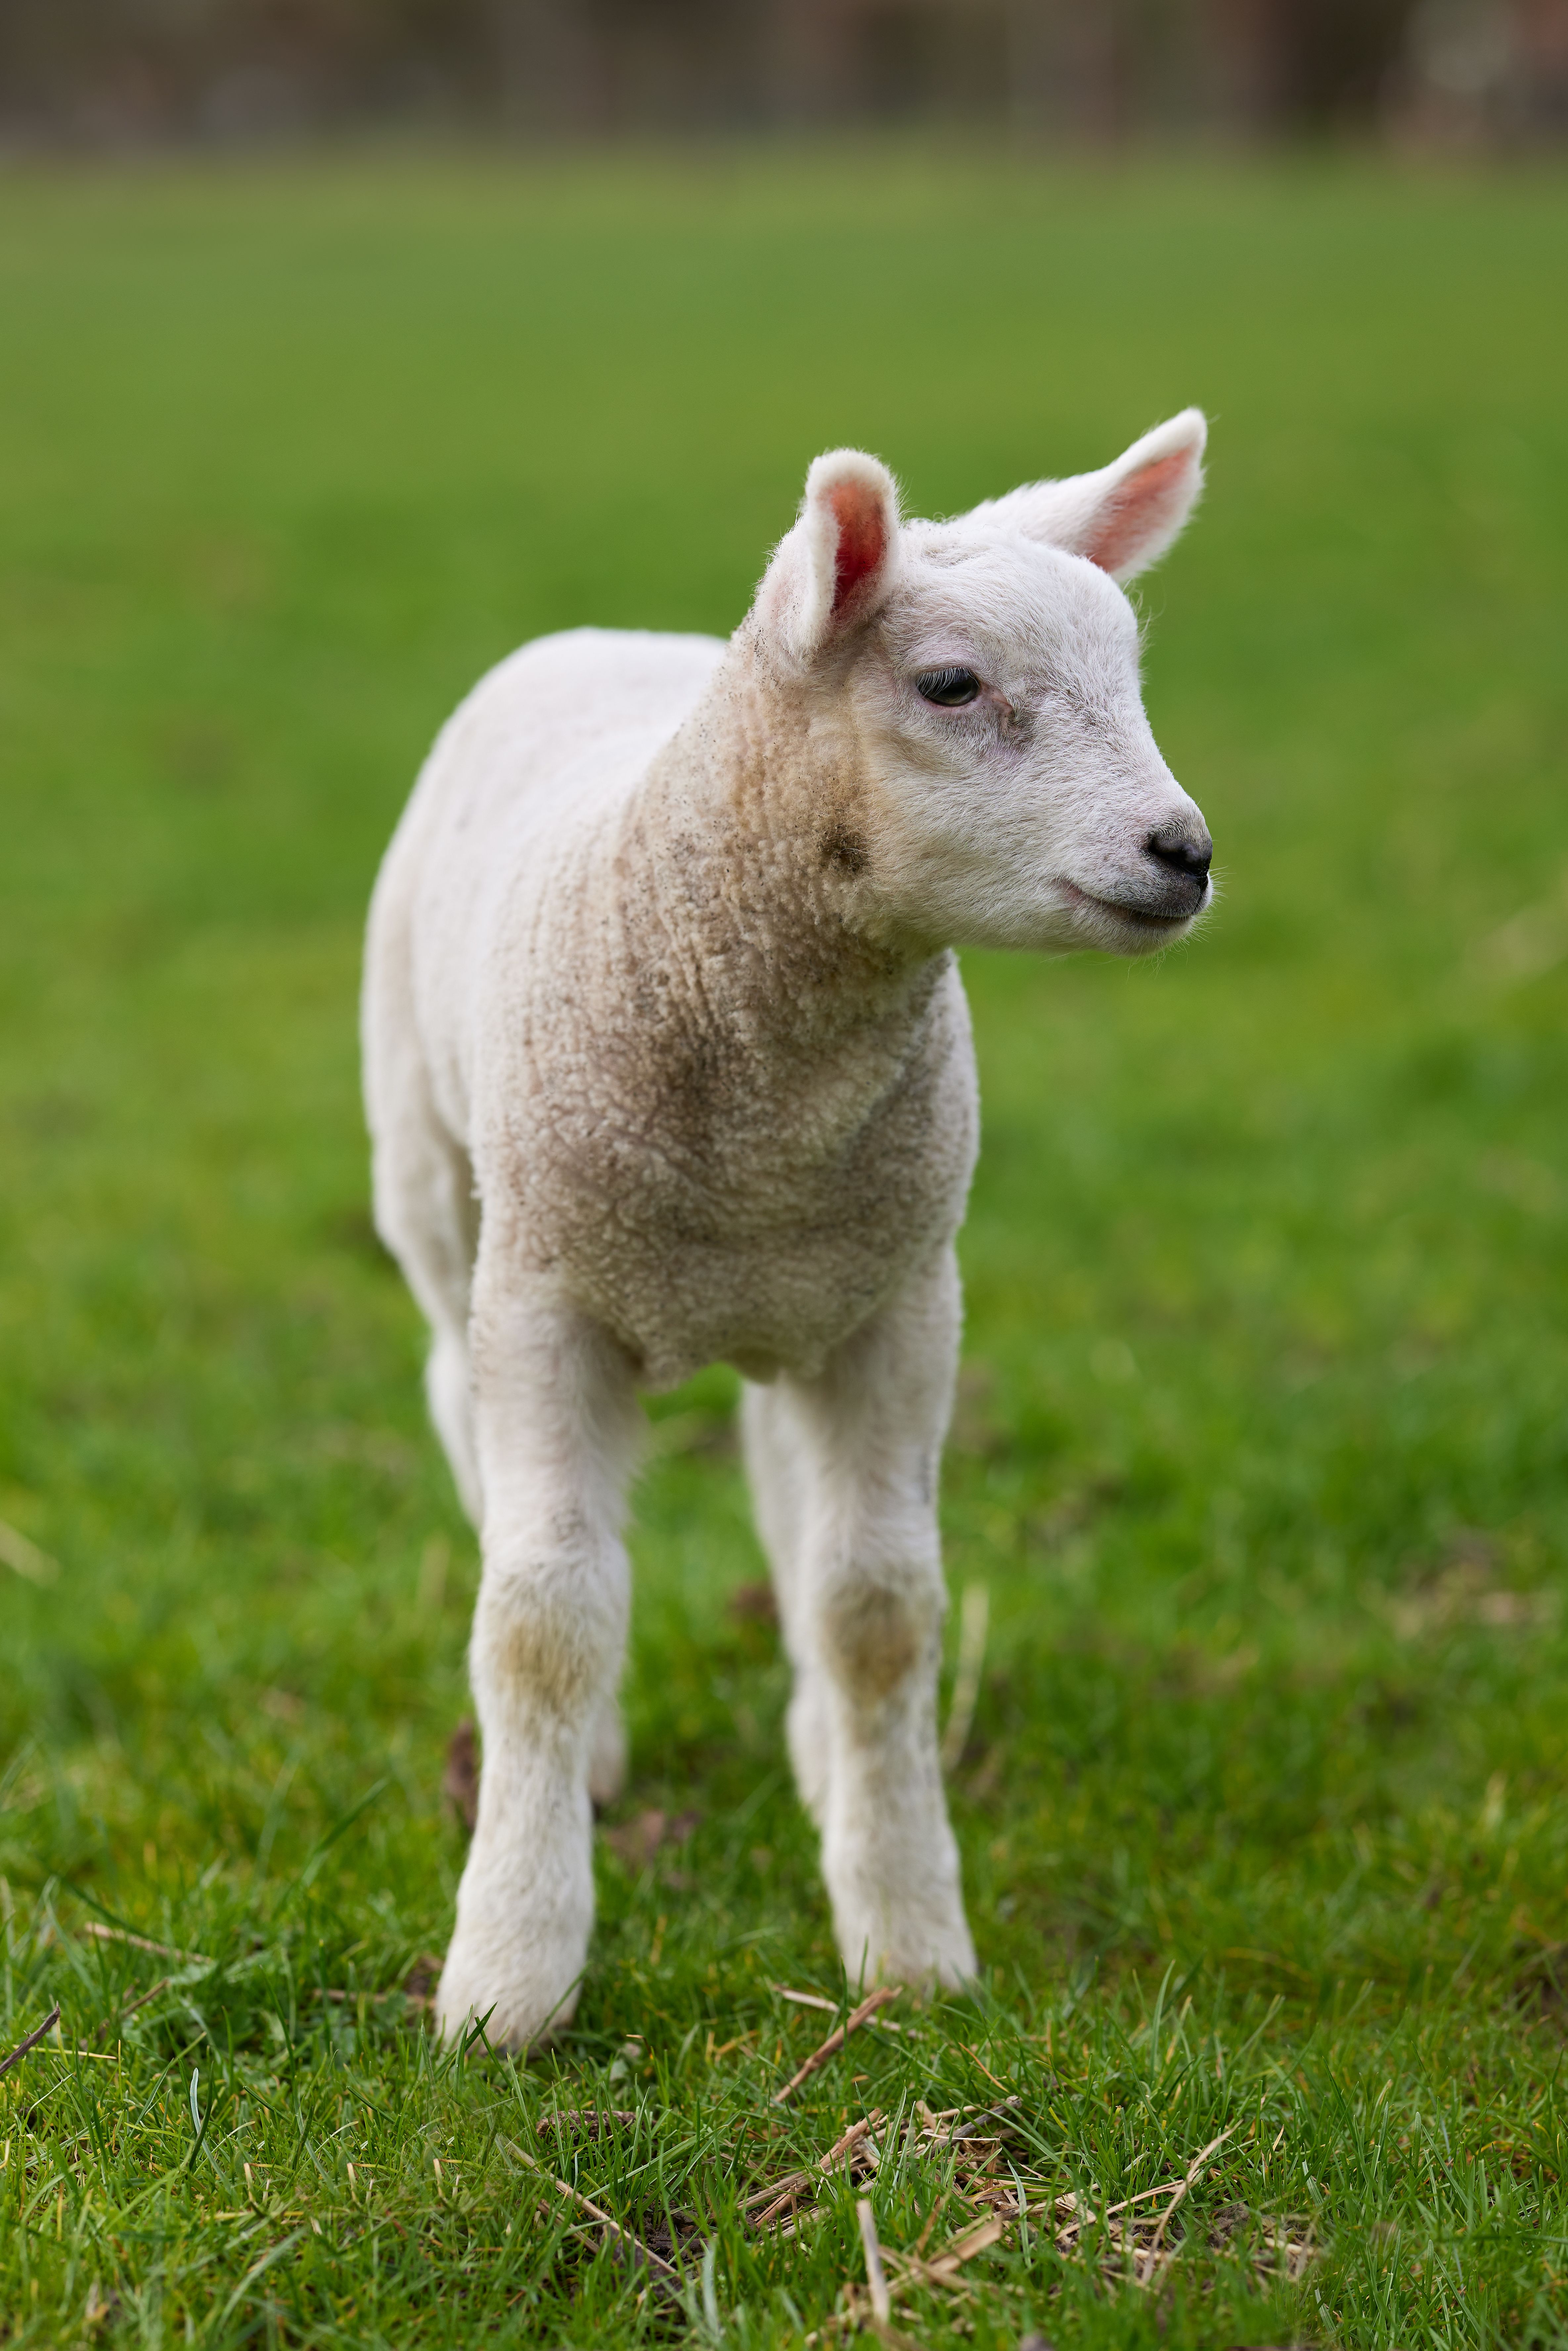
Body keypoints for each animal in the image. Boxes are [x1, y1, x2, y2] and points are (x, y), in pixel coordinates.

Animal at [362, 410, 1213, 2049]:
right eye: (947, 685)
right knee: (455, 1410)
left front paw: (905, 1933)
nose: (1182, 851)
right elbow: (542, 1617)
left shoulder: (898, 1303)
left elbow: (877, 1606)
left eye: (1134, 669)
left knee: (783, 1487)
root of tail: (607, 636)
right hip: (437, 1191)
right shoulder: (547, 1297)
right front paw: (510, 1973)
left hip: (806, 1292)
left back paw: (819, 1745)